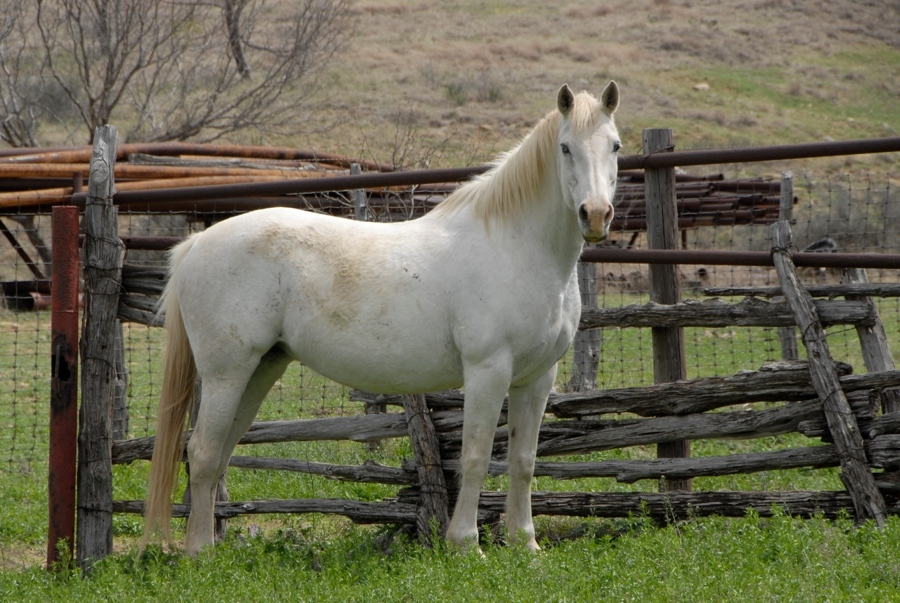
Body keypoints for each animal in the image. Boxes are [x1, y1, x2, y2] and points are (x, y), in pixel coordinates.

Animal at [144, 81, 624, 556]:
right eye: (565, 147)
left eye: (615, 146)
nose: (596, 215)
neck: (514, 246)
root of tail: (197, 243)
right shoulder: (488, 371)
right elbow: (476, 456)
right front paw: (466, 545)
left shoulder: (538, 377)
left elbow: (523, 460)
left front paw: (526, 545)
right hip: (227, 372)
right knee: (202, 452)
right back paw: (200, 553)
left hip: (260, 368)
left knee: (220, 452)